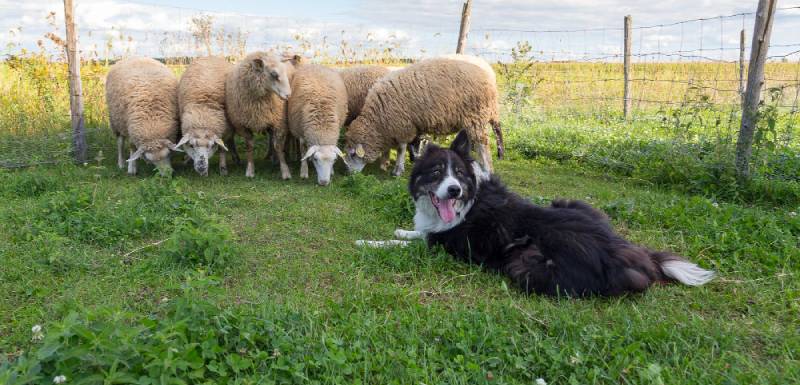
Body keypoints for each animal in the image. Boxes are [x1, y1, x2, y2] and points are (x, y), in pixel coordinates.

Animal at [344, 55, 500, 176]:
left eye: (352, 154)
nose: (349, 174)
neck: (378, 119)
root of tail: (488, 76)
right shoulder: (393, 127)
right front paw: (385, 163)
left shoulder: (403, 126)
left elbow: (401, 149)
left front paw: (397, 170)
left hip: (476, 116)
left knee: (482, 146)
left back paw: (487, 170)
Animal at [374, 130, 712, 296]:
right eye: (436, 173)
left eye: (458, 173)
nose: (454, 190)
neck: (467, 203)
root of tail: (620, 250)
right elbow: (416, 230)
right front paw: (402, 228)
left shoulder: (444, 246)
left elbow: (404, 242)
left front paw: (374, 242)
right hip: (571, 203)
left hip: (525, 266)